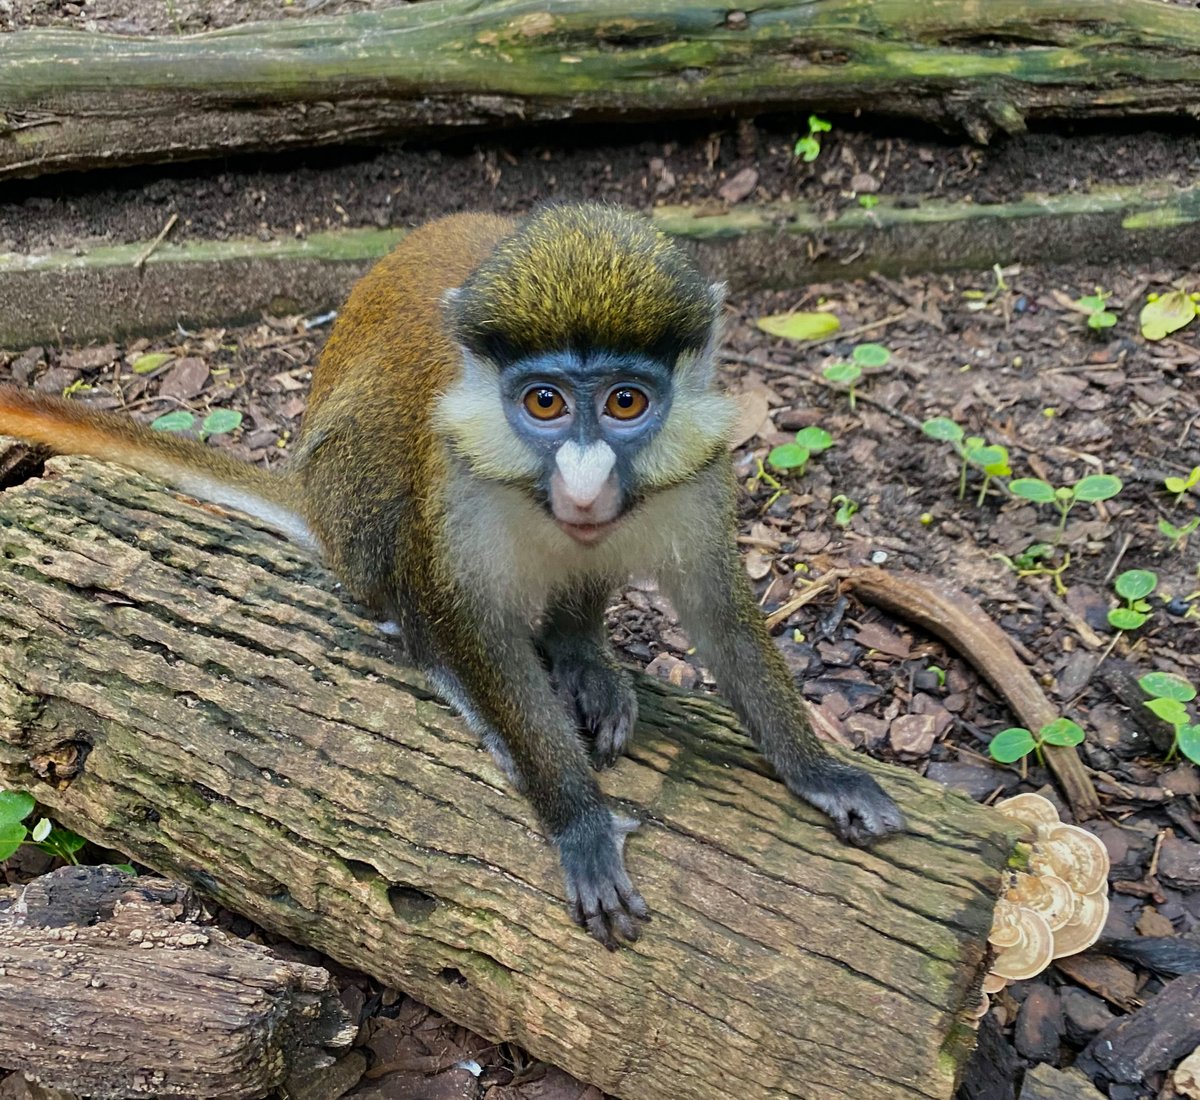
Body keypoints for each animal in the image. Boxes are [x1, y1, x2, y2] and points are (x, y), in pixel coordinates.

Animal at [0, 203, 902, 945]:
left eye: (624, 403)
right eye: (544, 403)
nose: (584, 481)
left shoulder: (699, 474)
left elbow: (721, 616)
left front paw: (821, 773)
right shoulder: (455, 470)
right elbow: (471, 624)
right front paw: (578, 819)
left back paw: (582, 654)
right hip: (349, 497)